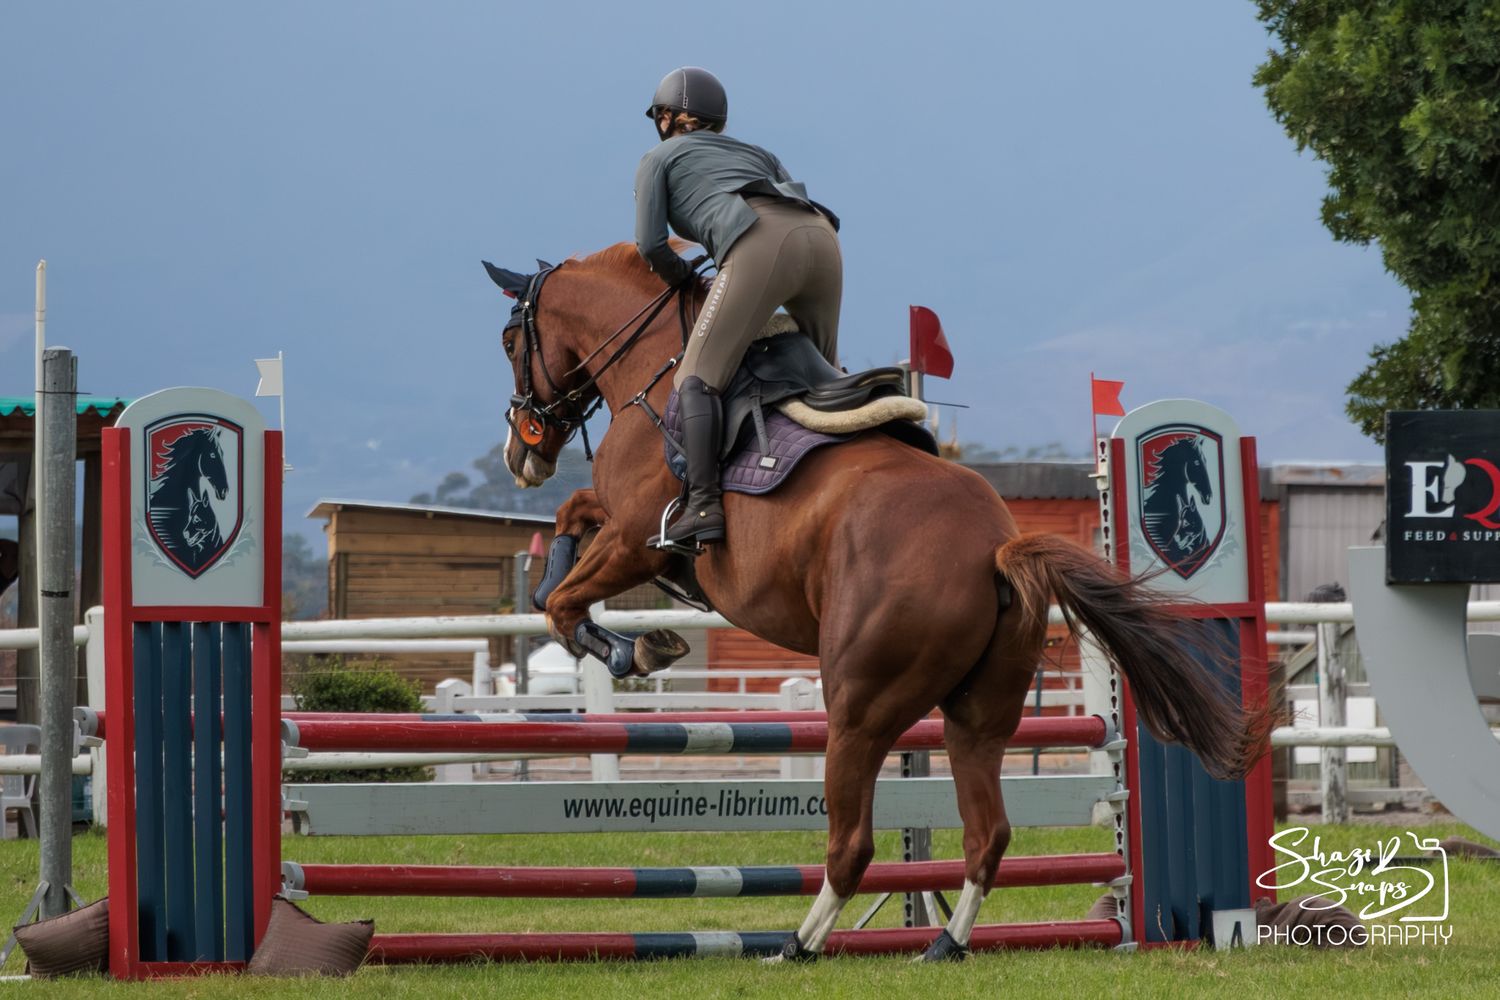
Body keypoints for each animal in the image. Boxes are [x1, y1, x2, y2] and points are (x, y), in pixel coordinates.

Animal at [489, 242, 1273, 961]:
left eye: (509, 341)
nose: (520, 454)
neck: (656, 363)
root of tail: (996, 548)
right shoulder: (618, 527)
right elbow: (569, 524)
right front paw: (601, 613)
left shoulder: (636, 541)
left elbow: (566, 599)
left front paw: (634, 648)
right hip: (977, 718)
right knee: (986, 832)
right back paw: (944, 943)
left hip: (859, 709)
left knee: (853, 842)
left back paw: (799, 944)